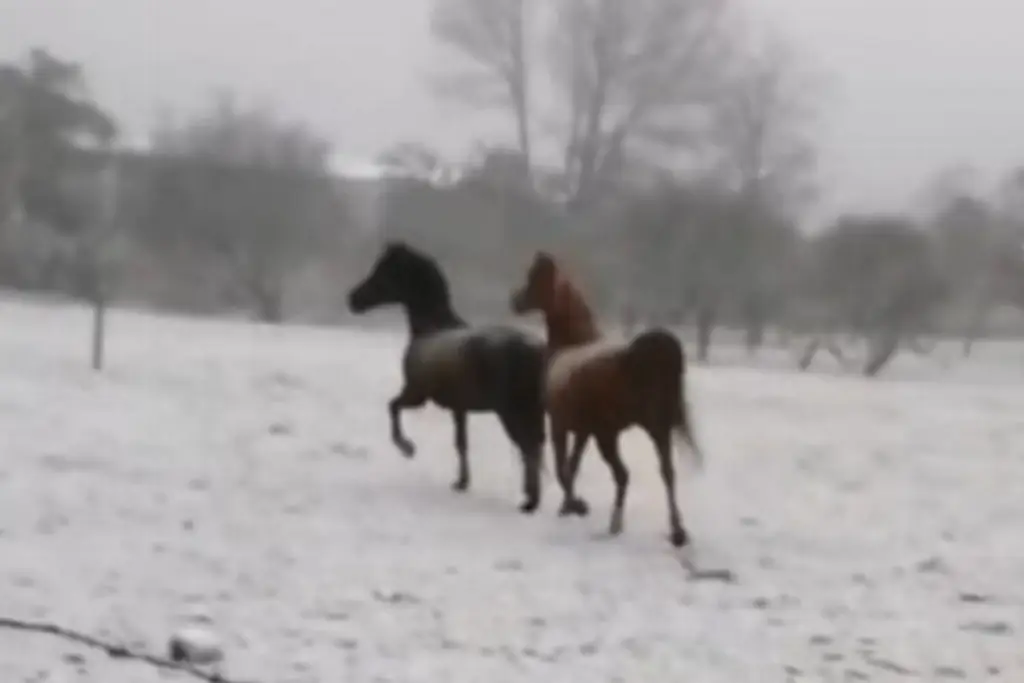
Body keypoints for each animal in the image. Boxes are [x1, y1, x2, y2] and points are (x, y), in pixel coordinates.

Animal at [348, 240, 548, 511]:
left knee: (529, 449)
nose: (353, 299)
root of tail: (532, 349)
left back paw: (530, 501)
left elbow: (392, 407)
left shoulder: (416, 395)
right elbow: (461, 443)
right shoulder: (459, 409)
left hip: (511, 413)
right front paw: (462, 482)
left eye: (383, 271)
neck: (431, 328)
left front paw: (407, 448)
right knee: (532, 449)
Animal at [505, 253, 700, 548]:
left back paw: (615, 524)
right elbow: (572, 466)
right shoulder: (583, 432)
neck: (571, 345)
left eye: (535, 278)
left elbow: (563, 468)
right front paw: (568, 506)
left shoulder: (560, 426)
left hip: (609, 435)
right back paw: (677, 531)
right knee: (666, 473)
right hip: (657, 430)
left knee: (623, 474)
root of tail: (638, 357)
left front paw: (576, 506)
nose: (515, 301)